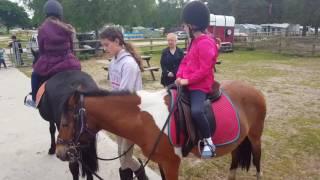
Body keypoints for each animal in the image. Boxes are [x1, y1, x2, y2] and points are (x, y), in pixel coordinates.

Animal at [56, 80, 266, 180]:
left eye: (65, 123)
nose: (59, 152)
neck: (142, 119)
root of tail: (254, 90)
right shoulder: (162, 162)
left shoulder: (172, 163)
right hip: (239, 140)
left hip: (255, 137)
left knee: (257, 161)